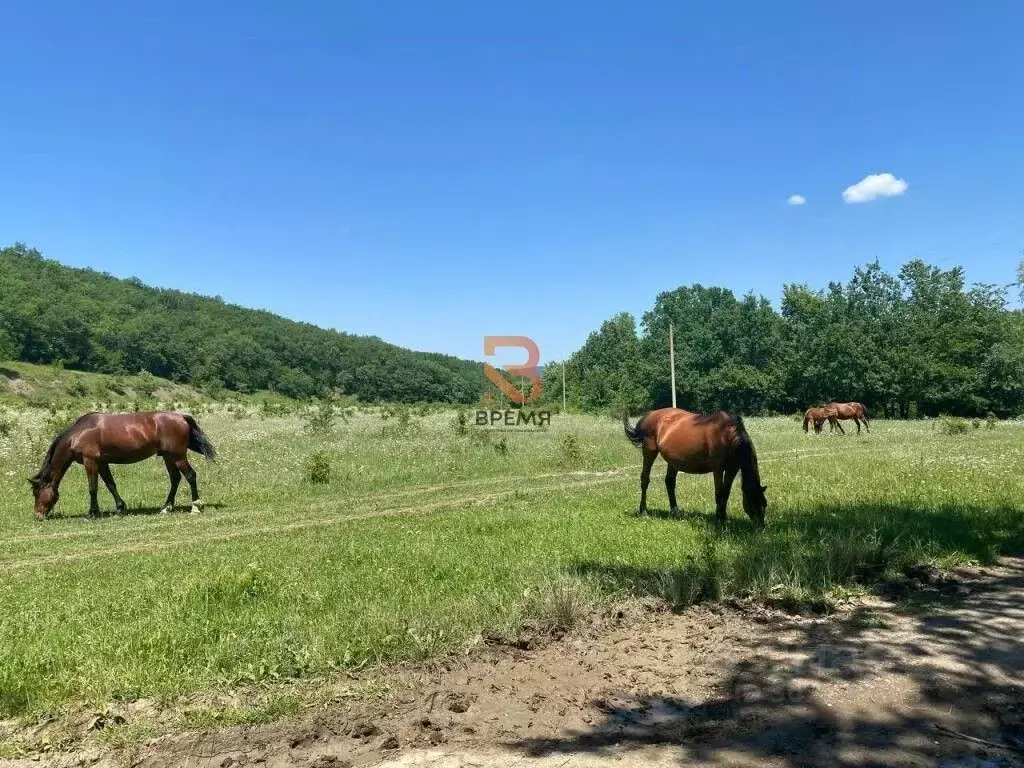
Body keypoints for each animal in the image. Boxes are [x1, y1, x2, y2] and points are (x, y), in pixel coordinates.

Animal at [29, 411, 216, 520]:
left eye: (36, 493)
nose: (37, 515)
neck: (79, 433)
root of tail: (181, 417)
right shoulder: (102, 463)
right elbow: (110, 485)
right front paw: (120, 508)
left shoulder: (91, 461)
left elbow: (93, 488)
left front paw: (92, 513)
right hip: (168, 457)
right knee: (175, 478)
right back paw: (166, 508)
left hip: (177, 456)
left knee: (190, 475)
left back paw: (196, 507)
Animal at [622, 409, 770, 528]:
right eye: (752, 504)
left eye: (764, 503)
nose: (761, 527)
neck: (726, 435)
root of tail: (650, 414)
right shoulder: (718, 469)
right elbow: (719, 494)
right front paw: (719, 520)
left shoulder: (732, 469)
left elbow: (725, 494)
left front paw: (724, 518)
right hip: (649, 451)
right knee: (645, 479)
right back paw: (643, 511)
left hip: (673, 461)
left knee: (669, 482)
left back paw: (675, 511)